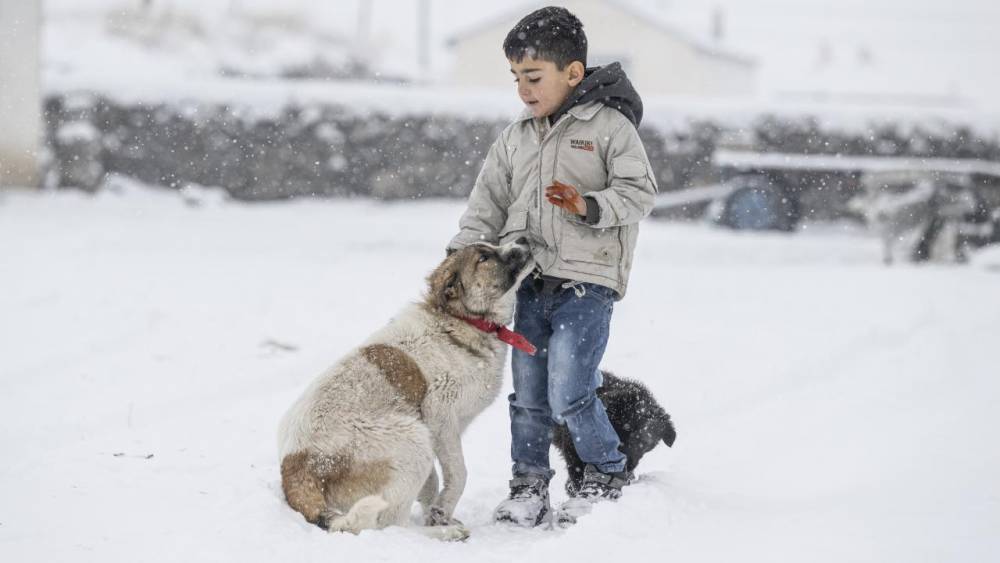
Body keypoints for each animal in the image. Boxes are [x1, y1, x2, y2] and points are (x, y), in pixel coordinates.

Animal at [278, 239, 536, 540]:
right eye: (483, 258)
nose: (524, 240)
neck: (461, 322)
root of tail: (295, 464)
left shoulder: (439, 432)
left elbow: (432, 483)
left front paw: (436, 514)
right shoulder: (440, 419)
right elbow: (458, 473)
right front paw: (442, 514)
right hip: (412, 438)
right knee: (392, 525)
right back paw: (443, 536)